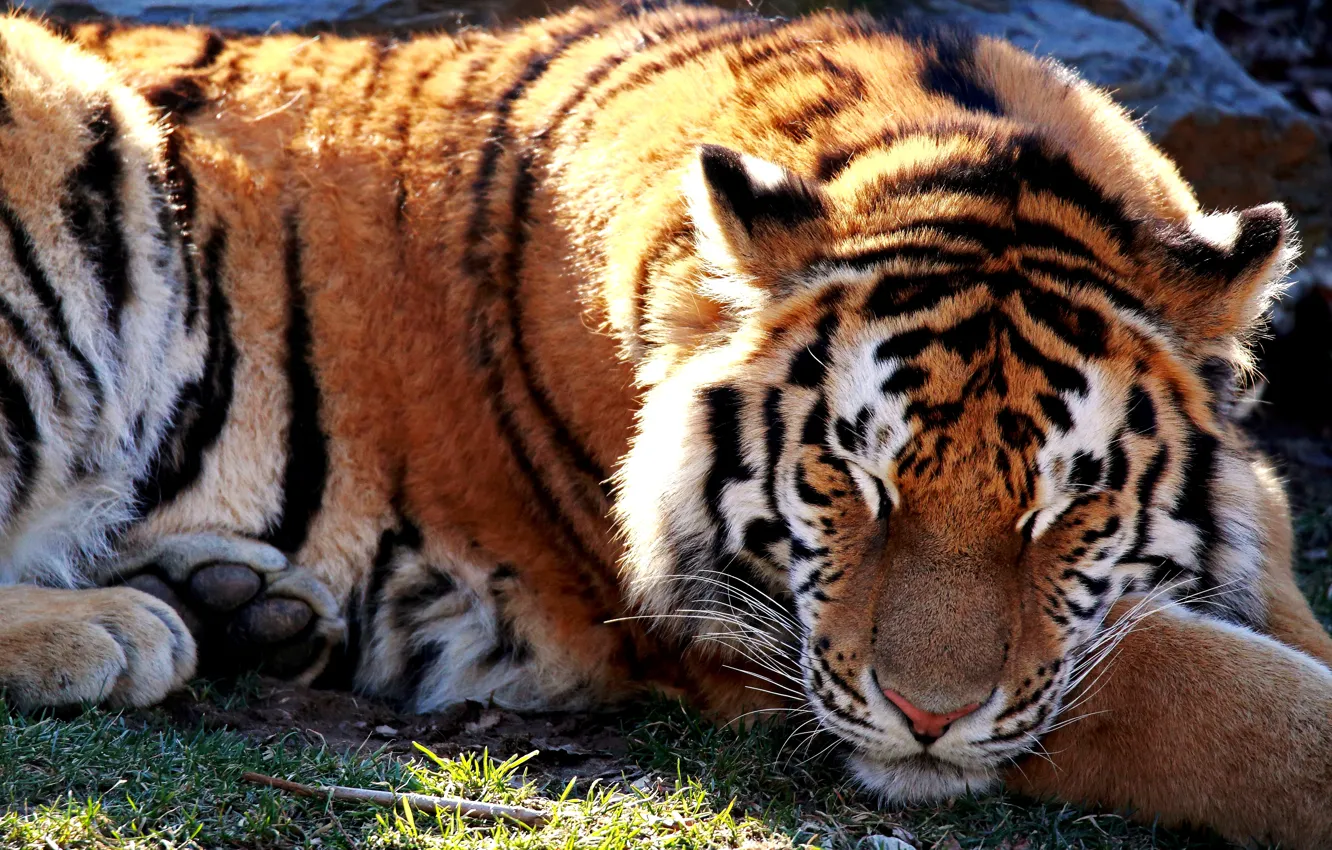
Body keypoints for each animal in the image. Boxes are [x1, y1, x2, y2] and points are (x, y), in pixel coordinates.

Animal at [0, 1, 1329, 845]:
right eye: (854, 476)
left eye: (1067, 503)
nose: (928, 719)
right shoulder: (748, 633)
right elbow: (1200, 688)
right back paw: (119, 628)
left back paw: (241, 608)